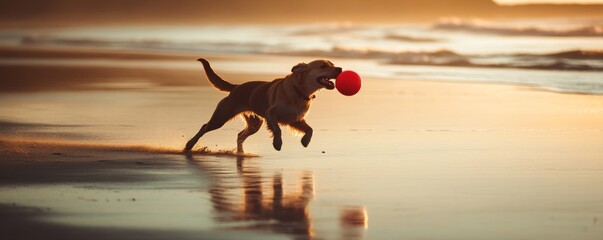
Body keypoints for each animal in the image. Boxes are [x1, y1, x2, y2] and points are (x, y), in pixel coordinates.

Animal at [184, 58, 342, 152]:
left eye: (333, 65)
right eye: (323, 66)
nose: (340, 69)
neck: (298, 91)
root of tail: (236, 87)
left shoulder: (295, 119)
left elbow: (310, 129)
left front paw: (305, 141)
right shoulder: (270, 114)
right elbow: (277, 130)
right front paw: (277, 143)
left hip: (255, 123)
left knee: (240, 135)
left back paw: (240, 153)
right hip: (221, 116)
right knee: (205, 127)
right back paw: (189, 144)